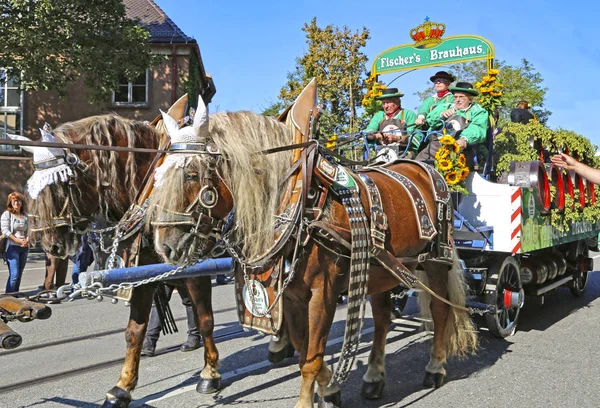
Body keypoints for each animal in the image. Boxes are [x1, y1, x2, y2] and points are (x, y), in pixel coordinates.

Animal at [149, 81, 478, 406]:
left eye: (192, 174)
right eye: (158, 175)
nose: (165, 247)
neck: (299, 201)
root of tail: (425, 168)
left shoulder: (323, 292)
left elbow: (312, 355)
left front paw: (313, 395)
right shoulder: (292, 295)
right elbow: (303, 350)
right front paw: (329, 386)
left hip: (436, 261)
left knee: (440, 310)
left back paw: (435, 366)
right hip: (382, 268)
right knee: (383, 319)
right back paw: (374, 376)